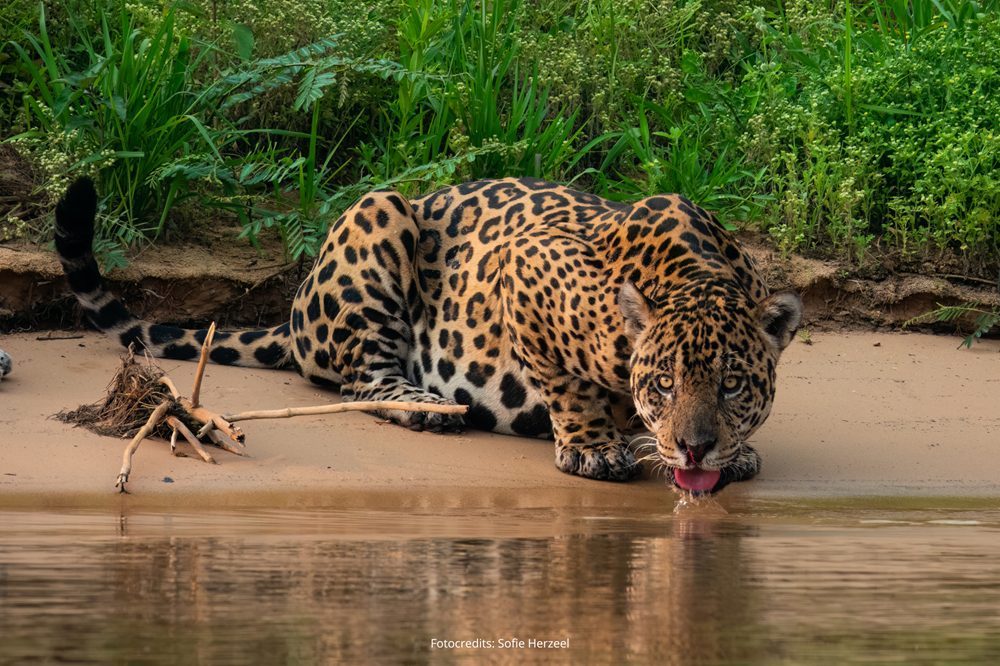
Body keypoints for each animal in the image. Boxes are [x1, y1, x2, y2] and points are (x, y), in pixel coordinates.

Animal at [55, 176, 802, 493]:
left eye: (733, 386)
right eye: (664, 383)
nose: (696, 448)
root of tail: (295, 315)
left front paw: (732, 453)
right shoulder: (525, 262)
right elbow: (565, 382)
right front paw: (593, 448)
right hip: (377, 215)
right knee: (362, 380)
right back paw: (429, 406)